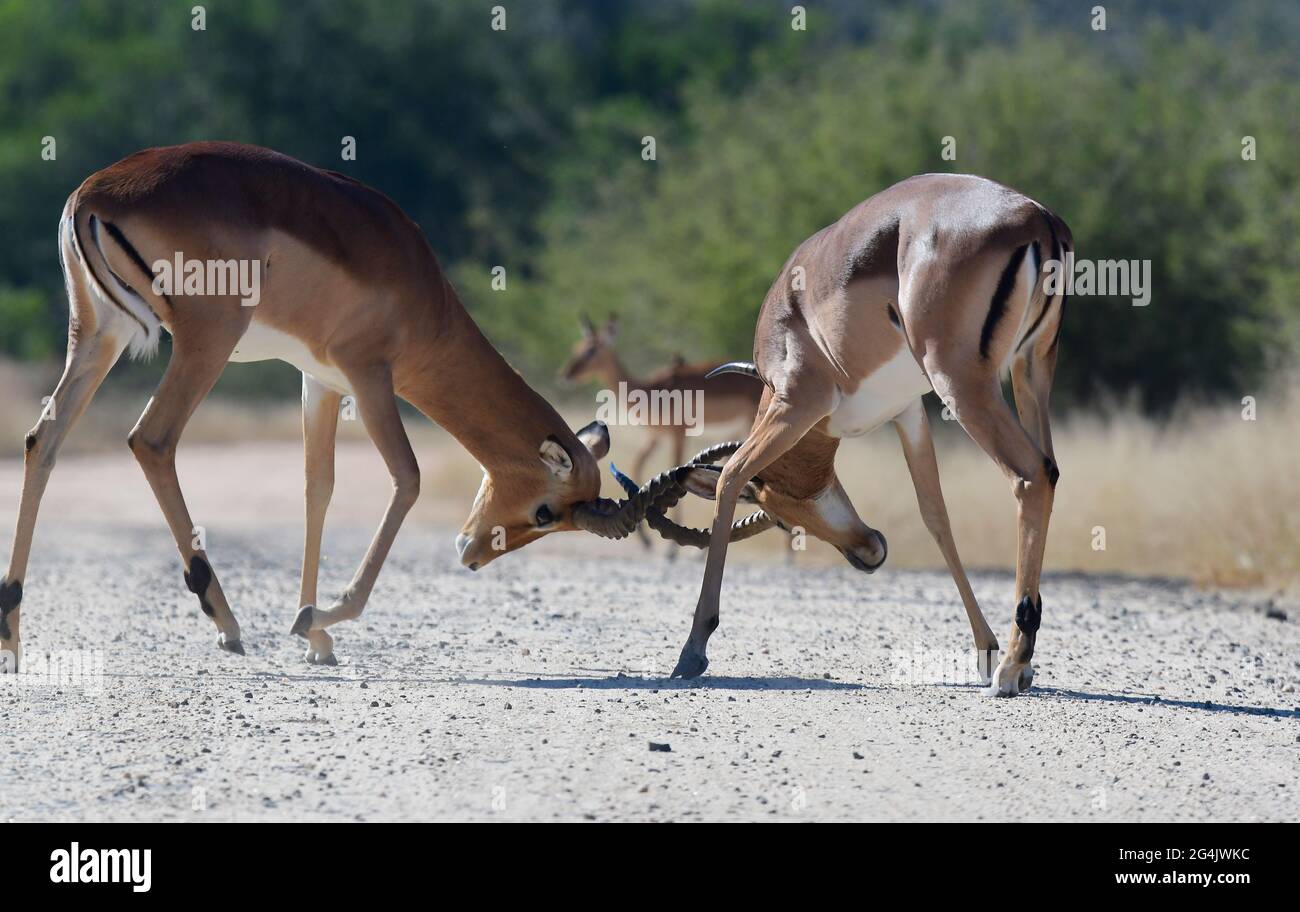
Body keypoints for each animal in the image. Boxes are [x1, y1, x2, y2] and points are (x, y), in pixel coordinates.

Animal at [0, 141, 674, 671]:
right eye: (544, 511)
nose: (473, 555)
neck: (422, 299)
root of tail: (91, 196)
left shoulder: (318, 381)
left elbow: (316, 488)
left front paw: (313, 634)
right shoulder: (369, 375)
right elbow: (407, 478)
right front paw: (316, 618)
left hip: (99, 334)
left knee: (42, 441)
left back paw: (12, 636)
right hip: (204, 341)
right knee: (151, 439)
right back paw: (228, 625)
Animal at [624, 174, 1071, 697]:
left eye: (780, 519)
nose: (870, 552)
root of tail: (1036, 217)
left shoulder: (797, 403)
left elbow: (729, 477)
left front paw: (692, 651)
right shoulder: (907, 411)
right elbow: (935, 515)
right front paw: (983, 651)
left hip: (962, 385)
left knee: (1030, 474)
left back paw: (1013, 667)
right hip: (1030, 369)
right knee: (1049, 470)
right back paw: (1018, 662)